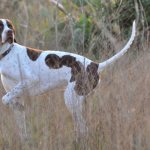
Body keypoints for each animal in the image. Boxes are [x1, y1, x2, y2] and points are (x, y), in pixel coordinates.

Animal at [0, 18, 135, 132]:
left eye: (9, 26)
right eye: (1, 26)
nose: (10, 32)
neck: (7, 54)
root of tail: (95, 65)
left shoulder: (30, 80)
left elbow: (4, 99)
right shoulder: (18, 102)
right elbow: (22, 130)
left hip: (71, 98)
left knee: (83, 128)